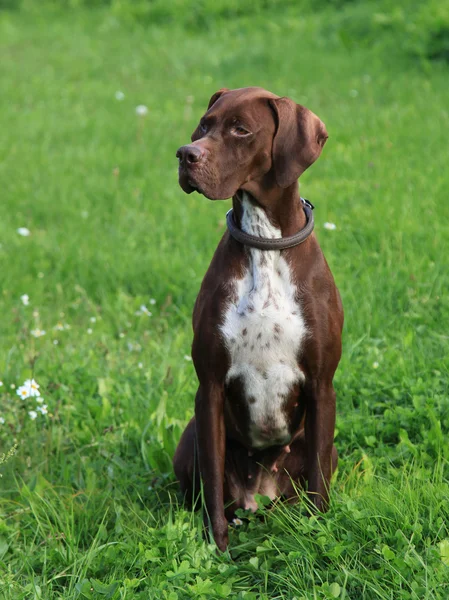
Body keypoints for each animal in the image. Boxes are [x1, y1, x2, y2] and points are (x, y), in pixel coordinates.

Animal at [173, 86, 342, 552]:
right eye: (204, 125)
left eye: (241, 130)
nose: (185, 155)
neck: (265, 243)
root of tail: (260, 497)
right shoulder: (210, 387)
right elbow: (213, 485)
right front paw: (217, 548)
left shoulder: (322, 386)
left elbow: (319, 487)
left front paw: (319, 537)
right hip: (189, 438)